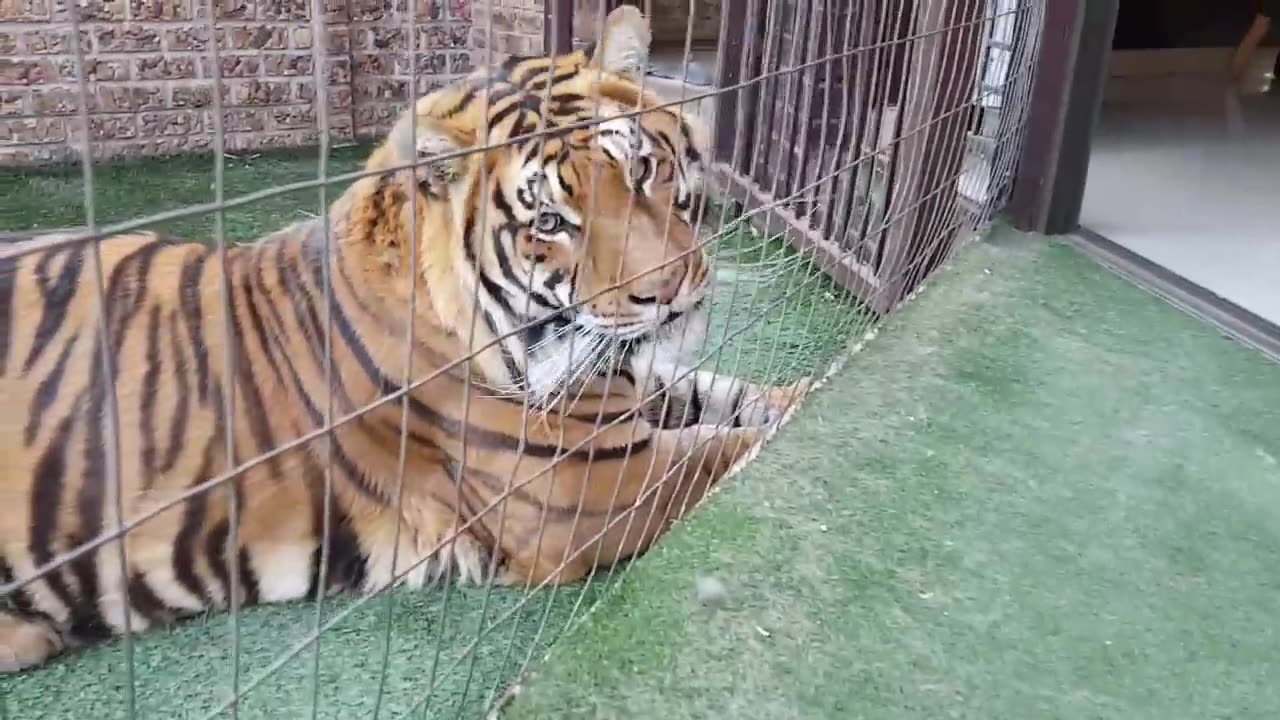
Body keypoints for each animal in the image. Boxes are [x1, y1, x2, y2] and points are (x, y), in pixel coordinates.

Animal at [0, 6, 809, 672]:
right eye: (551, 223)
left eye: (642, 168)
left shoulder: (620, 388)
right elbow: (721, 451)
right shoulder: (593, 485)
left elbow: (728, 396)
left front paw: (802, 390)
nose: (669, 292)